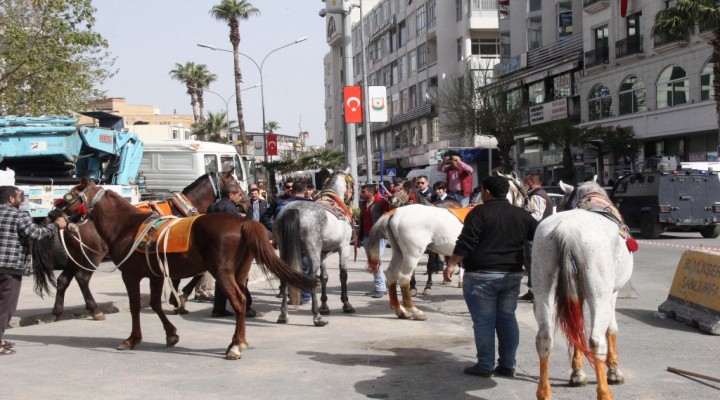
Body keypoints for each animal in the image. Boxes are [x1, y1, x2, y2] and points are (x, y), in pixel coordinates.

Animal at [33, 170, 236, 320]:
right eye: (234, 183)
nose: (53, 212)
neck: (183, 210)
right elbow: (191, 276)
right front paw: (179, 300)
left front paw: (177, 299)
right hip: (92, 255)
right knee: (82, 278)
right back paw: (95, 309)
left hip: (76, 256)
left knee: (63, 280)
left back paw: (58, 311)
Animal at [57, 178, 314, 360]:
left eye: (67, 197)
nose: (53, 215)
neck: (126, 227)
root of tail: (243, 222)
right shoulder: (155, 274)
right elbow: (154, 303)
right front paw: (171, 332)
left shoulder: (131, 275)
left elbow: (136, 306)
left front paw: (132, 339)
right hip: (238, 273)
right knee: (71, 278)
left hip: (223, 273)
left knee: (239, 301)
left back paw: (235, 346)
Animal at [272, 167, 354, 326]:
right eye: (351, 183)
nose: (352, 198)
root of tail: (293, 210)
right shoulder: (344, 247)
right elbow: (343, 275)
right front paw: (346, 304)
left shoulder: (323, 253)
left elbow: (324, 277)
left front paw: (324, 306)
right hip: (312, 251)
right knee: (311, 278)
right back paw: (317, 316)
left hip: (285, 249)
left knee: (285, 276)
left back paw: (283, 315)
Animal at [368, 170, 524, 320]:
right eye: (521, 188)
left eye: (406, 190)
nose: (392, 201)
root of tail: (396, 212)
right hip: (413, 254)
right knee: (404, 278)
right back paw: (415, 311)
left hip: (399, 251)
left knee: (391, 274)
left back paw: (400, 310)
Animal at [528, 180, 636, 398]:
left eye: (562, 202)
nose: (558, 208)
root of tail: (567, 231)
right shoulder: (612, 294)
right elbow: (611, 329)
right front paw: (614, 371)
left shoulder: (576, 294)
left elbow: (576, 330)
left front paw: (577, 373)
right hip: (599, 296)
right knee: (596, 341)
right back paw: (604, 392)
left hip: (543, 289)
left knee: (544, 337)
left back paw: (544, 392)